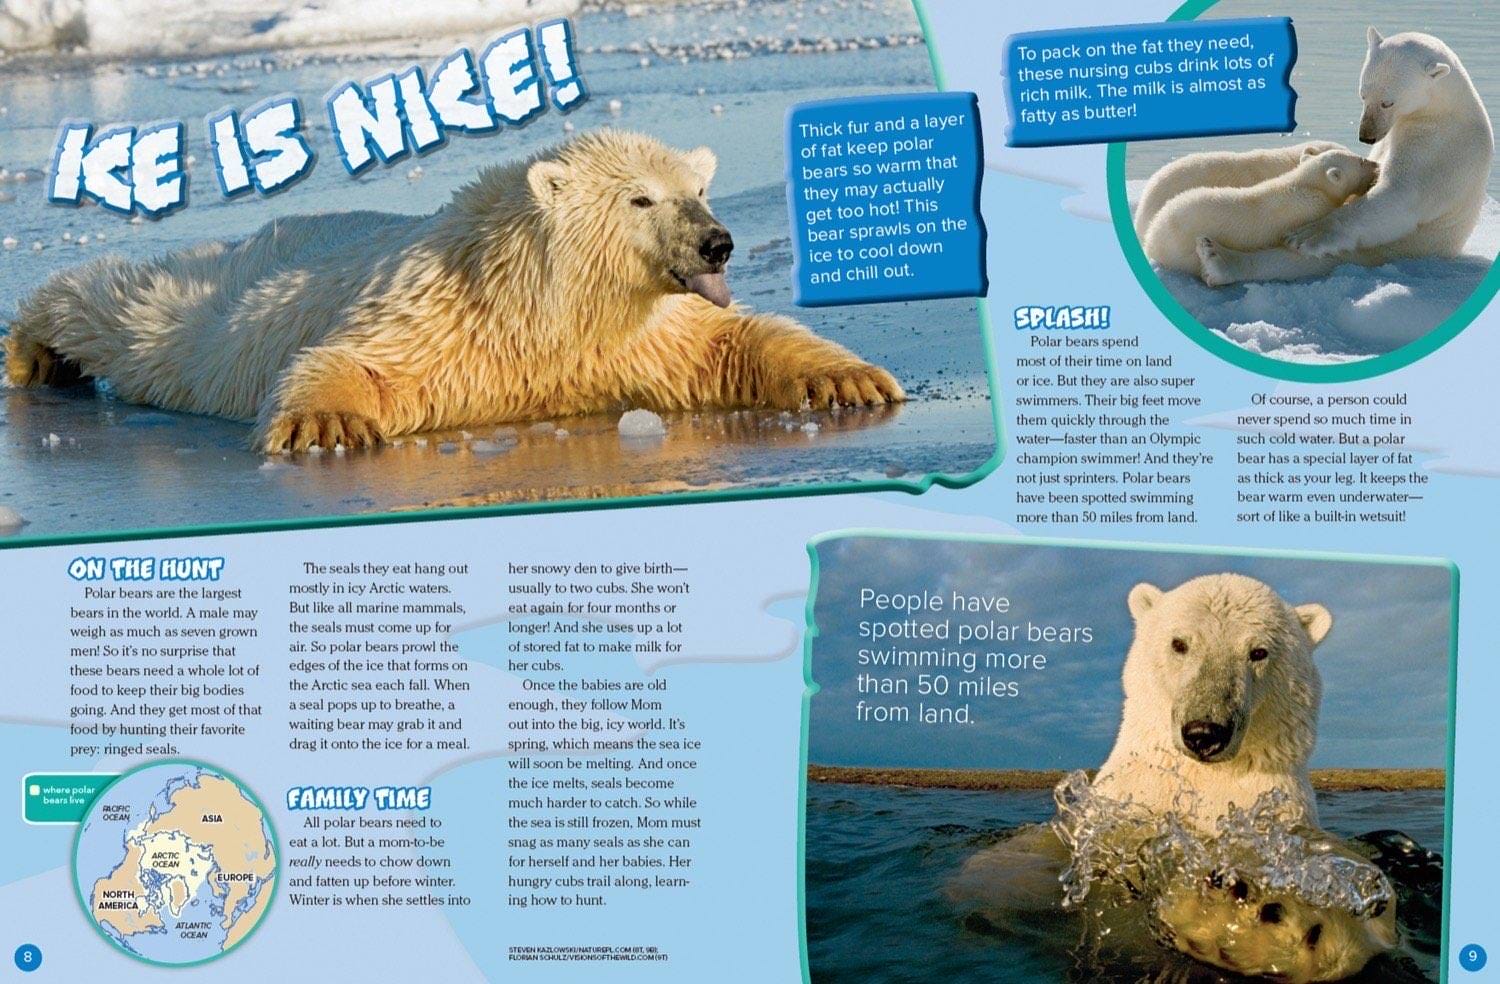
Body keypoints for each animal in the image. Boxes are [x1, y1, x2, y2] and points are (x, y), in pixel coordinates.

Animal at [3, 130, 904, 452]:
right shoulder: (445, 317)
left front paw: (849, 380)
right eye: (641, 198)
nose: (718, 241)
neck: (546, 306)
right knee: (129, 307)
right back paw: (34, 353)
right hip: (216, 299)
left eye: (700, 190)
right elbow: (360, 359)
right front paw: (329, 425)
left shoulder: (639, 334)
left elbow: (728, 342)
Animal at [950, 574, 1397, 983]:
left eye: (1258, 651)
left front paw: (1263, 922)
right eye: (1179, 643)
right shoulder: (1124, 810)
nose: (1205, 732)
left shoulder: (1281, 806)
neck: (1201, 781)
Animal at [1141, 149, 1379, 278]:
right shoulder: (1313, 208)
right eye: (1360, 160)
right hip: (1180, 249)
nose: (1376, 164)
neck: (1307, 184)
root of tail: (1151, 236)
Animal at [1198, 29, 1493, 286]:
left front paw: (1307, 235)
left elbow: (1399, 197)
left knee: (1301, 262)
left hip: (1390, 249)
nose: (1366, 136)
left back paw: (1219, 259)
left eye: (1388, 102)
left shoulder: (1439, 148)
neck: (1446, 107)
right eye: (1363, 94)